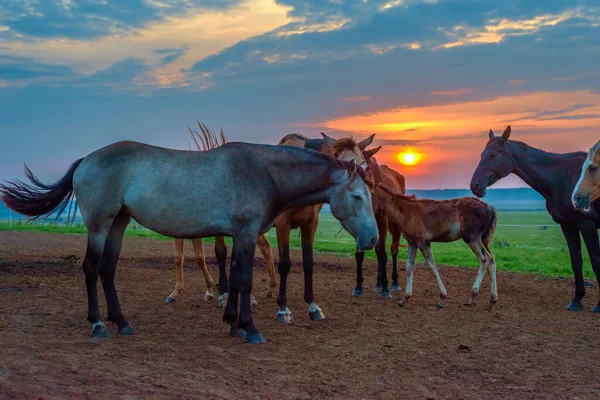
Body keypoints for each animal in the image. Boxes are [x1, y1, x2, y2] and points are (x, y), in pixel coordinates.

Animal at [164, 124, 276, 306]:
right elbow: (180, 257)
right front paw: (176, 292)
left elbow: (208, 255)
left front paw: (215, 290)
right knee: (264, 246)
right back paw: (271, 288)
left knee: (263, 248)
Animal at [276, 133, 376, 324]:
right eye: (340, 161)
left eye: (364, 163)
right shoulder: (282, 225)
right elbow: (284, 264)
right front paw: (283, 309)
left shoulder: (310, 224)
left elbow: (308, 263)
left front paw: (313, 306)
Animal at [354, 149, 406, 296]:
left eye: (367, 167)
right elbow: (361, 253)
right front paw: (358, 287)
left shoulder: (382, 219)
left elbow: (383, 253)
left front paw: (385, 289)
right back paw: (378, 283)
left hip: (394, 225)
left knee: (394, 249)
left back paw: (394, 282)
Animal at [468, 125, 600, 312]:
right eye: (482, 154)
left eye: (493, 154)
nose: (475, 185)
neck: (562, 176)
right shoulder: (568, 226)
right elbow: (576, 262)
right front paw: (576, 299)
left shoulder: (587, 225)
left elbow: (596, 262)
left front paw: (599, 305)